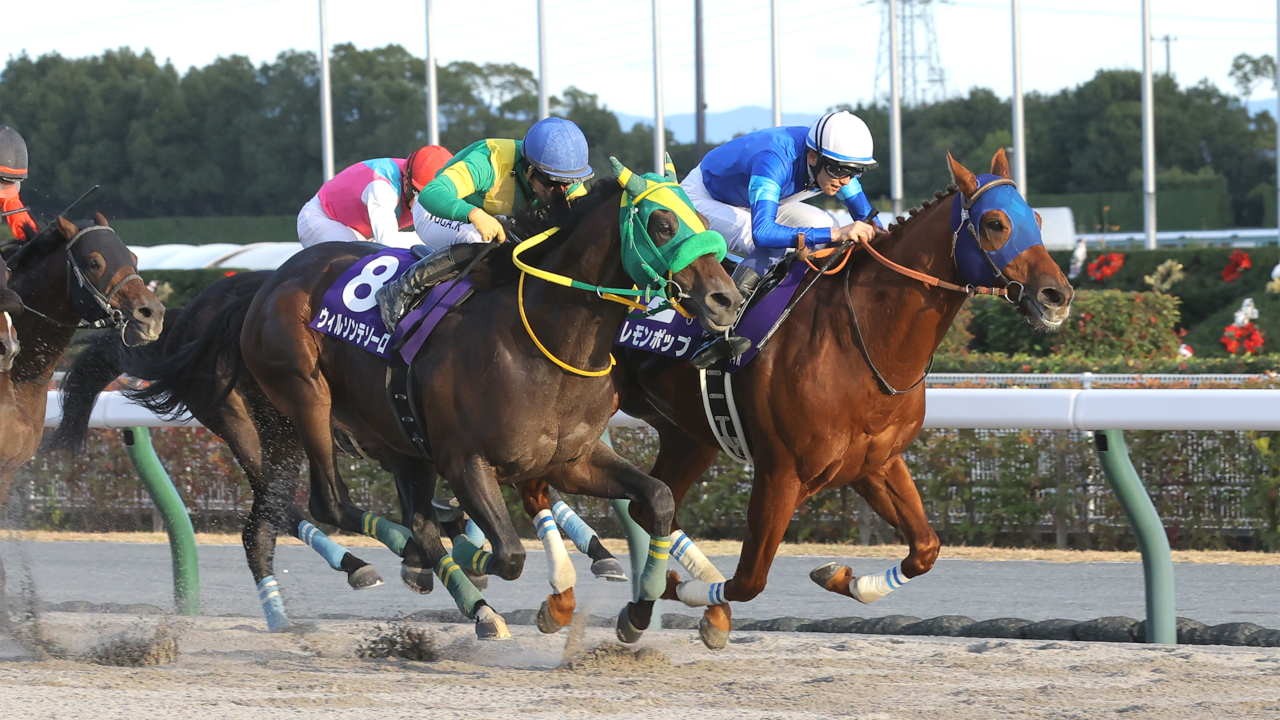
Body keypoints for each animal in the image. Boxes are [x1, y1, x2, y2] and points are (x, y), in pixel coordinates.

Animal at [591, 150, 1075, 648]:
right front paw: (685, 595)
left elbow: (925, 549)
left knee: (648, 506)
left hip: (689, 434)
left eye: (1037, 219)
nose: (1057, 295)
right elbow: (749, 580)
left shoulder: (876, 462)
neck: (859, 341)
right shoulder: (781, 473)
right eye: (996, 222)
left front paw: (844, 579)